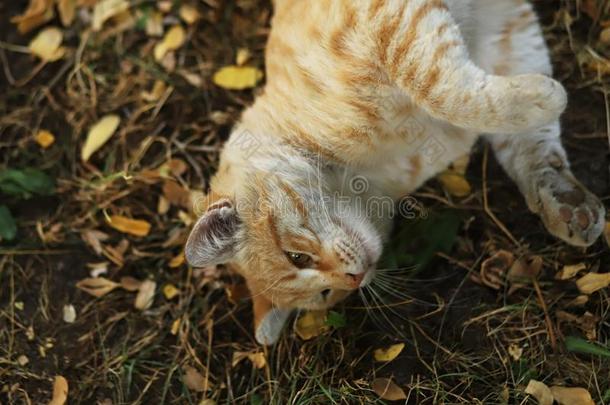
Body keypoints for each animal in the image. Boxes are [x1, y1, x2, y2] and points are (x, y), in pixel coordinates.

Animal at [184, 0, 604, 344]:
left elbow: (445, 90)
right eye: (326, 294)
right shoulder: (504, 37)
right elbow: (529, 143)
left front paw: (546, 96)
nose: (353, 280)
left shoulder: (392, 21)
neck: (372, 175)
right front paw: (563, 200)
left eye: (296, 257)